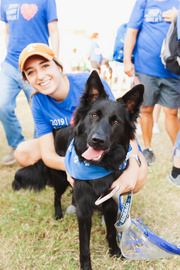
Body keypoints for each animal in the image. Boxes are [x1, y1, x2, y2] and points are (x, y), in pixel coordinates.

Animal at [11, 70, 144, 268]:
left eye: (116, 122)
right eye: (94, 116)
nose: (97, 140)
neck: (98, 167)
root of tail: (55, 132)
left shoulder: (112, 202)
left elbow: (112, 231)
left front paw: (114, 251)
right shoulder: (85, 210)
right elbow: (85, 245)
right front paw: (86, 266)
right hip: (60, 180)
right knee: (56, 196)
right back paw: (58, 214)